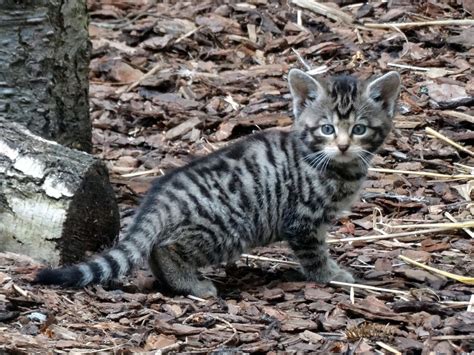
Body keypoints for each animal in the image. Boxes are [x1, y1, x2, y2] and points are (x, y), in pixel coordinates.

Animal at [35, 69, 402, 298]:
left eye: (359, 129)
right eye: (327, 129)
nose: (343, 145)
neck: (332, 164)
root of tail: (163, 193)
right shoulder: (303, 222)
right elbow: (314, 255)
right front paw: (331, 276)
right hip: (227, 227)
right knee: (166, 248)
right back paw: (193, 285)